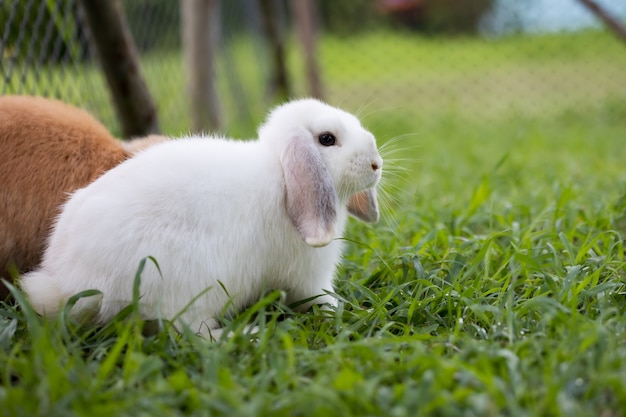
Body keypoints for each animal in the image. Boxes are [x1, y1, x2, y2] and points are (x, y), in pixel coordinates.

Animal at [19, 98, 380, 334]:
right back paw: (244, 334)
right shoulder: (309, 278)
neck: (282, 174)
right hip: (191, 289)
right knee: (190, 333)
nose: (376, 163)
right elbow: (321, 298)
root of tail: (71, 284)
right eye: (327, 139)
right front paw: (347, 310)